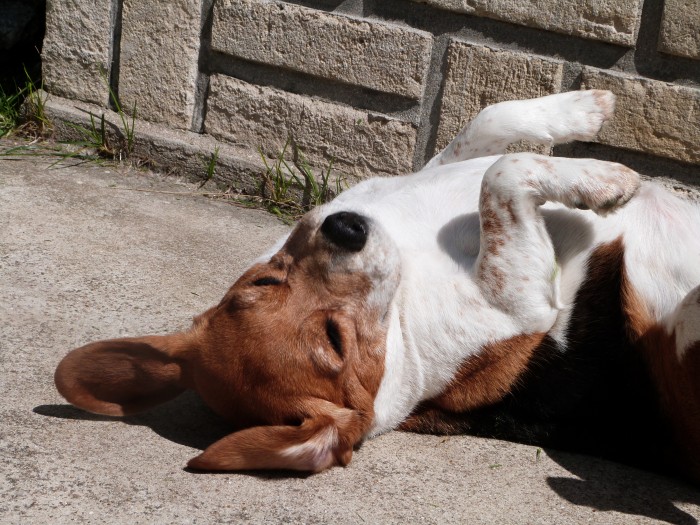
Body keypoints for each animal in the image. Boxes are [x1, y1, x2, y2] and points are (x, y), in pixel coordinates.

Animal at [54, 90, 700, 481]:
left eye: (267, 277)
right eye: (335, 339)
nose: (346, 227)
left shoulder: (439, 170)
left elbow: (488, 124)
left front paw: (585, 109)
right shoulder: (523, 300)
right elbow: (503, 173)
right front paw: (606, 180)